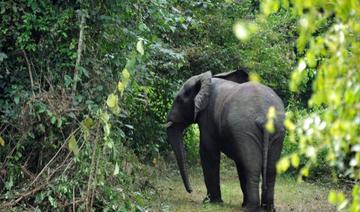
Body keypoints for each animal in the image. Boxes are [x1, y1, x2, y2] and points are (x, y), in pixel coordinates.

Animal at [165, 69, 286, 212]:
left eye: (179, 100)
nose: (191, 191)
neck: (206, 80)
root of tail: (264, 117)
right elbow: (240, 162)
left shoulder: (208, 118)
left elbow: (208, 153)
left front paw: (211, 203)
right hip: (276, 131)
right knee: (270, 169)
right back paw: (267, 208)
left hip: (245, 128)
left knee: (252, 167)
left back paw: (250, 208)